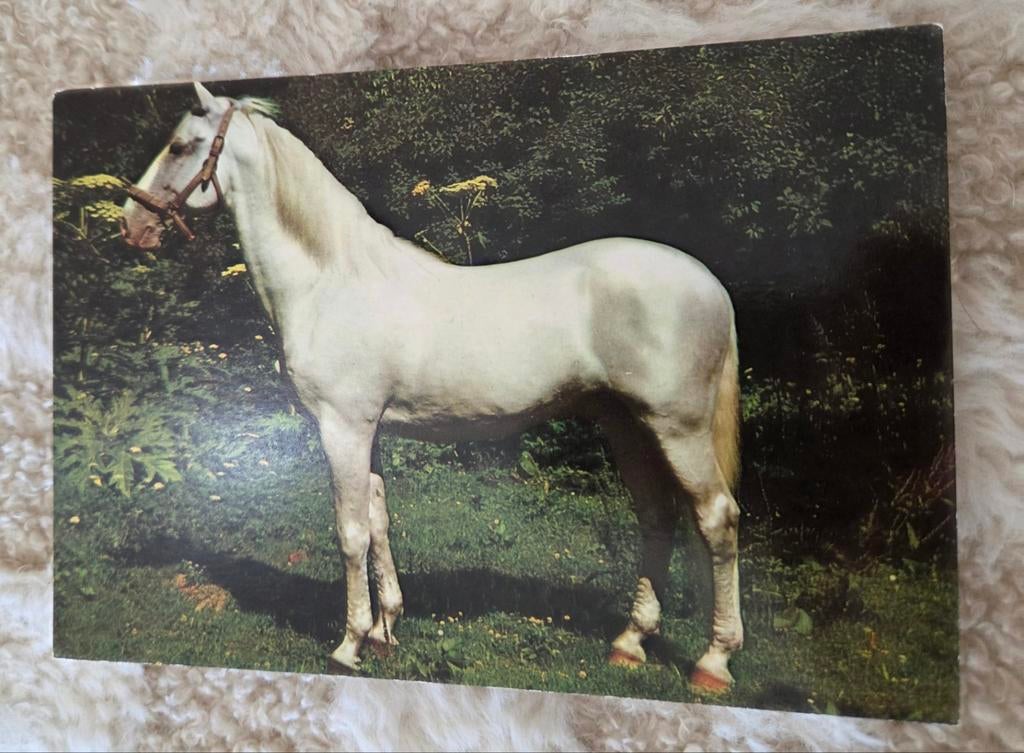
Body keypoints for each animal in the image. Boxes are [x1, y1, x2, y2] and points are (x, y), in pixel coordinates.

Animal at [120, 82, 744, 694]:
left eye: (181, 146)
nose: (132, 225)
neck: (329, 282)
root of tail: (709, 283)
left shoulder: (341, 429)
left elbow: (350, 533)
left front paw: (349, 645)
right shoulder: (367, 432)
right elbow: (378, 523)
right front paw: (384, 632)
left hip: (678, 428)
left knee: (717, 518)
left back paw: (713, 663)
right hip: (628, 427)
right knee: (657, 519)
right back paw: (630, 644)